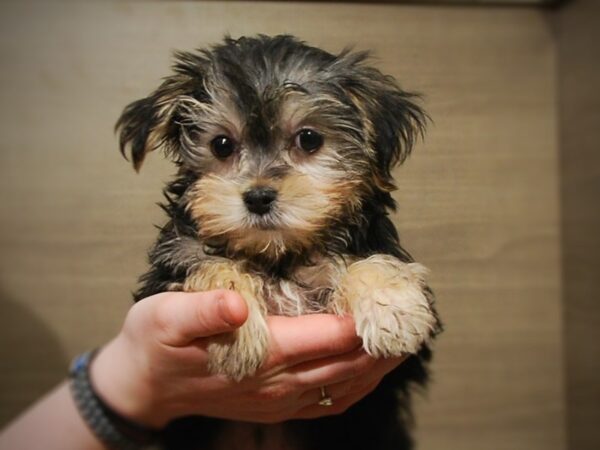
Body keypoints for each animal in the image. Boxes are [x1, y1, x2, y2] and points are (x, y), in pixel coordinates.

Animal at [117, 34, 440, 450]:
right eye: (222, 144)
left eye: (309, 138)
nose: (258, 197)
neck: (279, 254)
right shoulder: (165, 275)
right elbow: (206, 263)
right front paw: (234, 332)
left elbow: (368, 262)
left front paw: (392, 310)